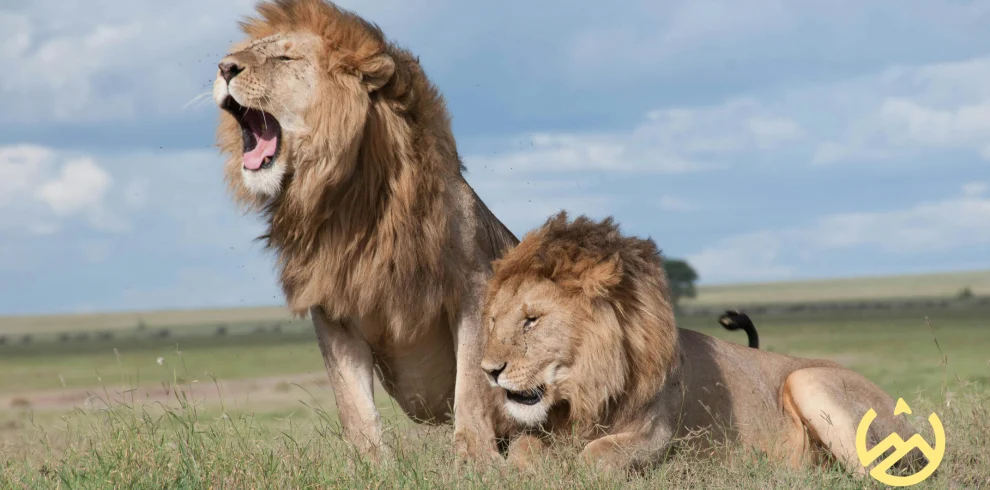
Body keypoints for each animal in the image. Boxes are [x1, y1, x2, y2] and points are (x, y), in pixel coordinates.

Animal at [212, 0, 518, 462]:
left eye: (284, 58)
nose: (224, 67)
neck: (349, 202)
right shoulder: (331, 306)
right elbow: (352, 402)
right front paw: (371, 464)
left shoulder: (474, 285)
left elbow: (472, 385)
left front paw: (476, 459)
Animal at [480, 212, 928, 476]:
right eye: (494, 320)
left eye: (532, 320)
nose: (488, 371)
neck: (585, 390)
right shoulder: (542, 430)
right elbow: (522, 450)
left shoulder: (657, 436)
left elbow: (596, 455)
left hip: (808, 380)